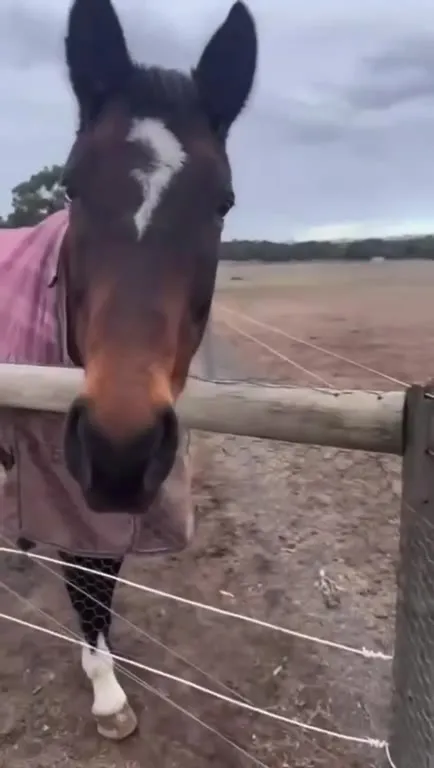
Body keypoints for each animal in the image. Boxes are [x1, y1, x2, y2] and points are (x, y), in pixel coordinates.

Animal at [0, 0, 257, 742]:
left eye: (223, 201)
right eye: (72, 185)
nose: (120, 445)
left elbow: (103, 579)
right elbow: (86, 583)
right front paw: (107, 693)